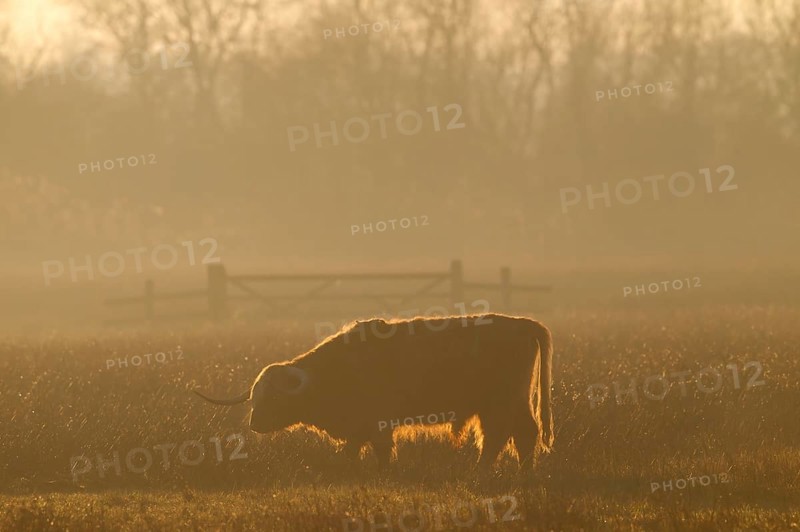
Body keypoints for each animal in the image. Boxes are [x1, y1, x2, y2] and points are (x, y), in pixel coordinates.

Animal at [194, 313, 554, 468]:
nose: (254, 423)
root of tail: (521, 323)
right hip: (511, 403)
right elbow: (352, 451)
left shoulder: (378, 424)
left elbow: (381, 451)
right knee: (517, 436)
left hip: (503, 402)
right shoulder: (358, 427)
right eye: (255, 396)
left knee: (506, 437)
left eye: (274, 396)